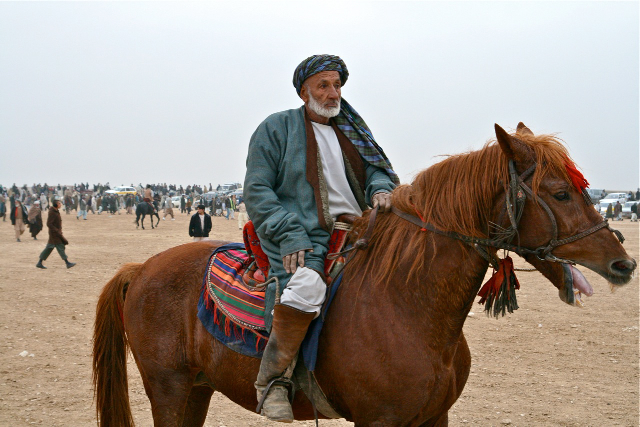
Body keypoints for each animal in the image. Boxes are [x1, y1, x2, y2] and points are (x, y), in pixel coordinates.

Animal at [94, 123, 636, 424]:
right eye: (560, 193)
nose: (623, 263)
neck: (409, 305)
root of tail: (142, 267)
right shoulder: (380, 421)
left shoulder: (434, 417)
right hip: (170, 389)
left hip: (196, 390)